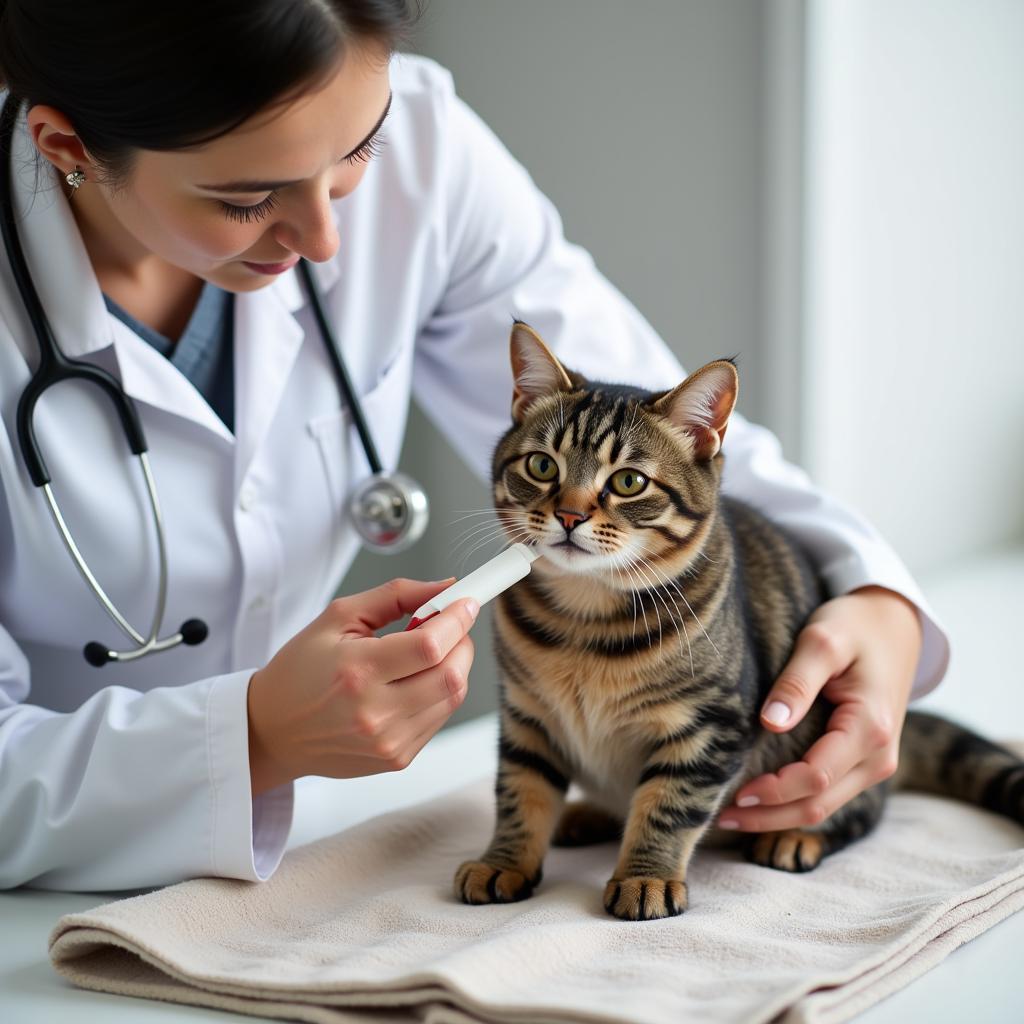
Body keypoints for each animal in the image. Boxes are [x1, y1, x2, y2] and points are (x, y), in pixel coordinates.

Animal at [454, 319, 1024, 921]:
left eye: (629, 482)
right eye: (542, 466)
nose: (568, 515)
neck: (583, 619)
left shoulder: (708, 726)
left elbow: (667, 807)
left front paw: (645, 876)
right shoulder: (527, 718)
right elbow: (519, 795)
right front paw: (503, 861)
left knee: (864, 808)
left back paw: (797, 835)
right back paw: (588, 814)